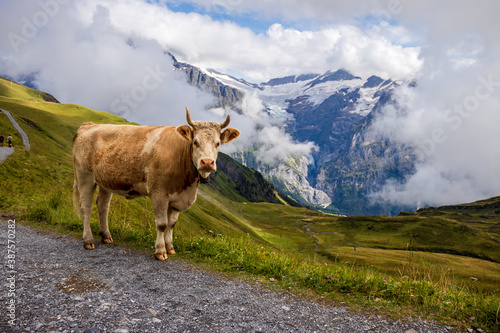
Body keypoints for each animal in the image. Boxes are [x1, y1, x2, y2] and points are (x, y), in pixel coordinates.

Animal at [72, 106, 240, 260]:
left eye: (218, 143)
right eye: (195, 141)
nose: (207, 162)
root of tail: (88, 125)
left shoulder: (177, 199)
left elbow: (172, 224)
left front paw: (170, 248)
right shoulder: (159, 193)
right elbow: (162, 224)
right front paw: (160, 251)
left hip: (106, 180)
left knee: (103, 206)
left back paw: (106, 236)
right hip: (85, 175)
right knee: (86, 207)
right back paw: (88, 240)